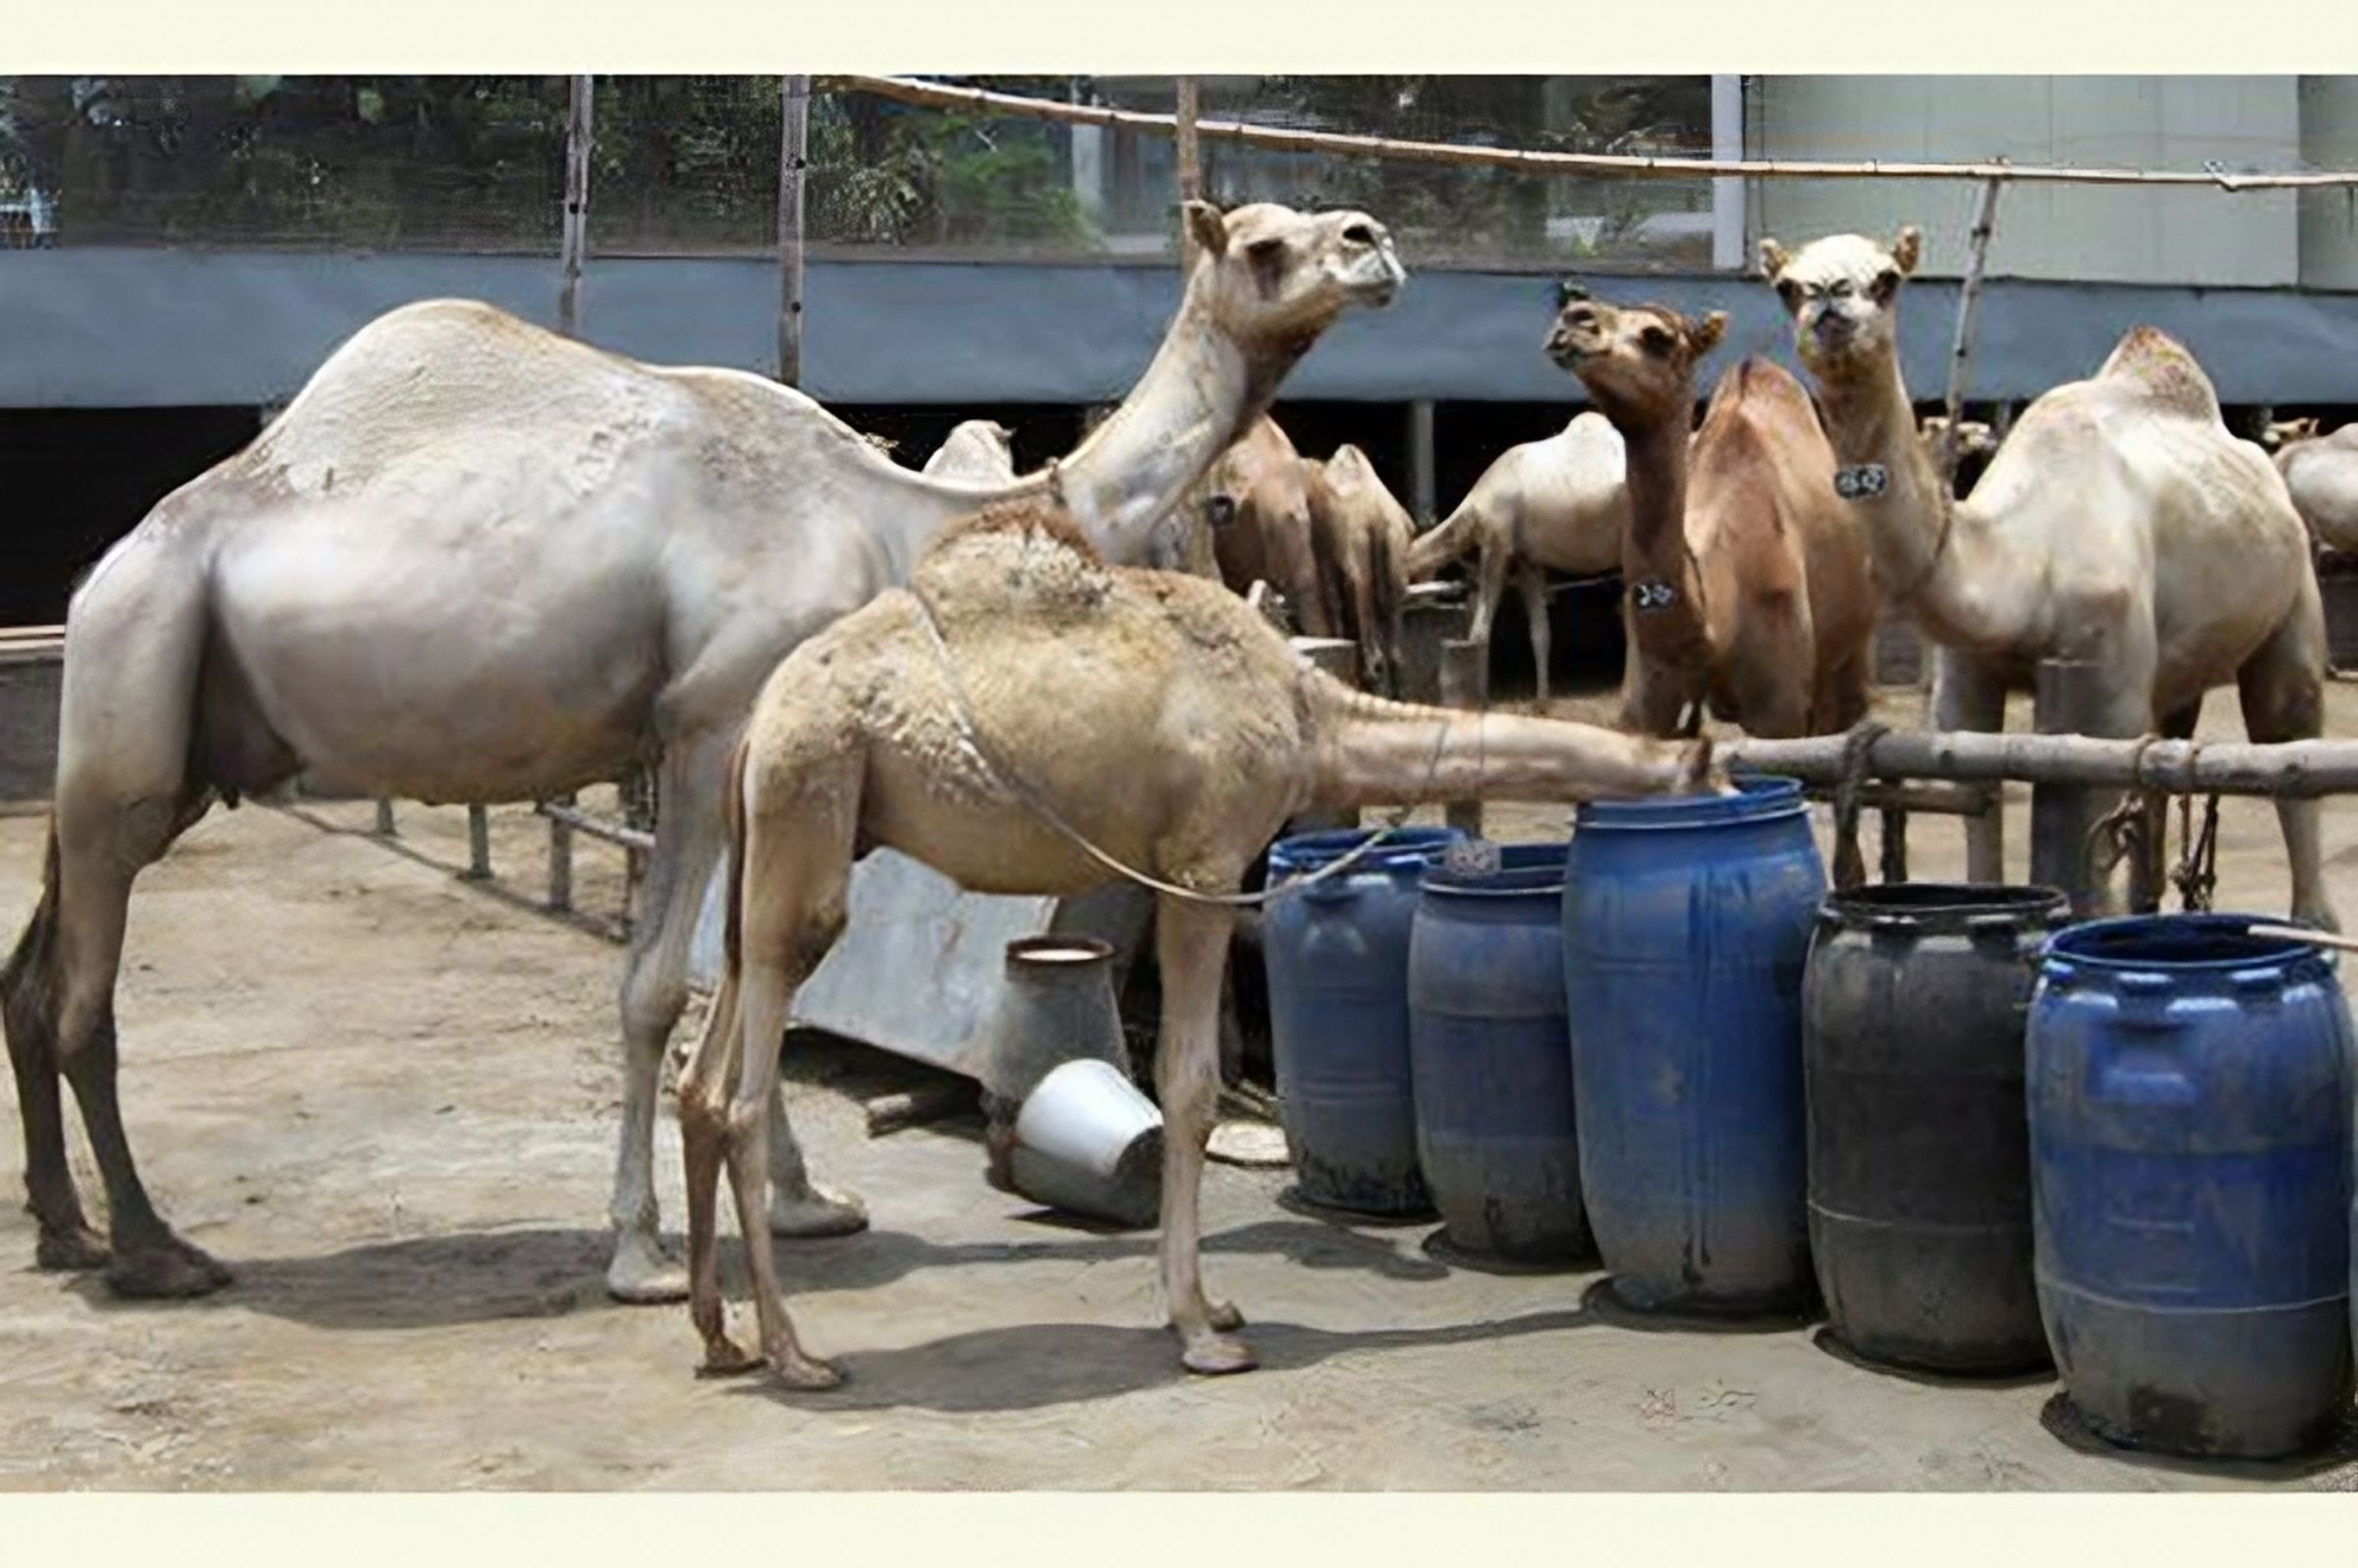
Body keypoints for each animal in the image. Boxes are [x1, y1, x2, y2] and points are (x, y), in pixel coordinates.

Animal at [0, 207, 1395, 1311]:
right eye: (1265, 244)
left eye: (1323, 221)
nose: (1372, 245)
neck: (892, 520)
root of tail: (106, 568)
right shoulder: (713, 722)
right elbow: (659, 987)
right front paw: (645, 1255)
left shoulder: (770, 754)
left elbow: (742, 970)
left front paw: (806, 1202)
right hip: (135, 684)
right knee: (83, 998)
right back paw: (154, 1252)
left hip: (154, 742)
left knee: (35, 964)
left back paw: (65, 1231)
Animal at [674, 497, 1725, 1386]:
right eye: (1719, 782)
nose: (1734, 813)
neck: (1311, 712)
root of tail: (758, 723)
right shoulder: (1206, 864)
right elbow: (1187, 1087)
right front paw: (1200, 1329)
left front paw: (1212, 1310)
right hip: (811, 800)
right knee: (745, 1092)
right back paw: (796, 1355)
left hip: (777, 839)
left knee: (705, 1072)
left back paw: (721, 1336)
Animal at [1546, 283, 1877, 740]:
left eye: (1658, 337)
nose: (1574, 319)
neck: (1709, 631)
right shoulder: (1645, 706)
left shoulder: (1779, 712)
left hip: (1848, 650)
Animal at [1764, 221, 2330, 928]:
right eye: (1787, 286)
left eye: (1887, 279)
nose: (1829, 299)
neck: (2020, 563)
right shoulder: (1964, 680)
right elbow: (1978, 803)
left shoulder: (2109, 688)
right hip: (2180, 669)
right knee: (2170, 757)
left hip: (2295, 594)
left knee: (2289, 733)